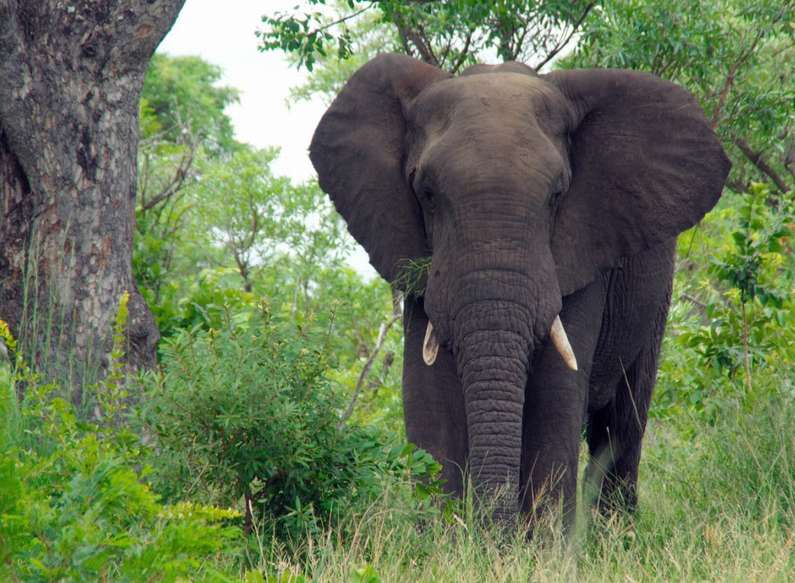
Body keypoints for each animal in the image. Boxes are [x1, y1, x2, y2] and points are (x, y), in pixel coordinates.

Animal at [309, 53, 730, 525]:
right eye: (427, 193)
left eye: (557, 194)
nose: (490, 529)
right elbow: (429, 398)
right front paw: (446, 540)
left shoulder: (582, 247)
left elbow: (554, 396)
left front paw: (542, 544)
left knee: (623, 421)